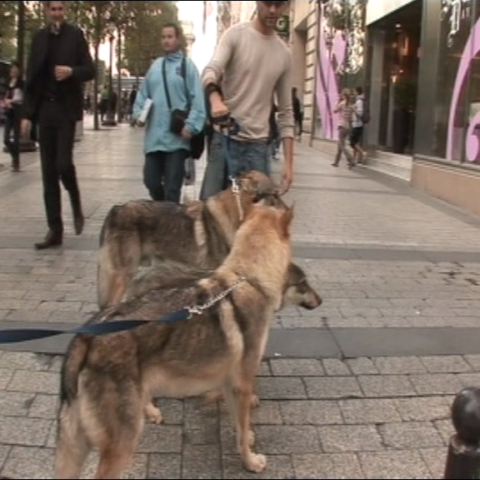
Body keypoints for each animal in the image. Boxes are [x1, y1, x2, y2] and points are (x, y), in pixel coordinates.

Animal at [56, 201, 296, 478]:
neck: (247, 279)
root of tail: (85, 336)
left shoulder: (229, 383)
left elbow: (239, 427)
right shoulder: (243, 384)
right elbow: (243, 430)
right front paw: (250, 462)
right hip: (121, 444)